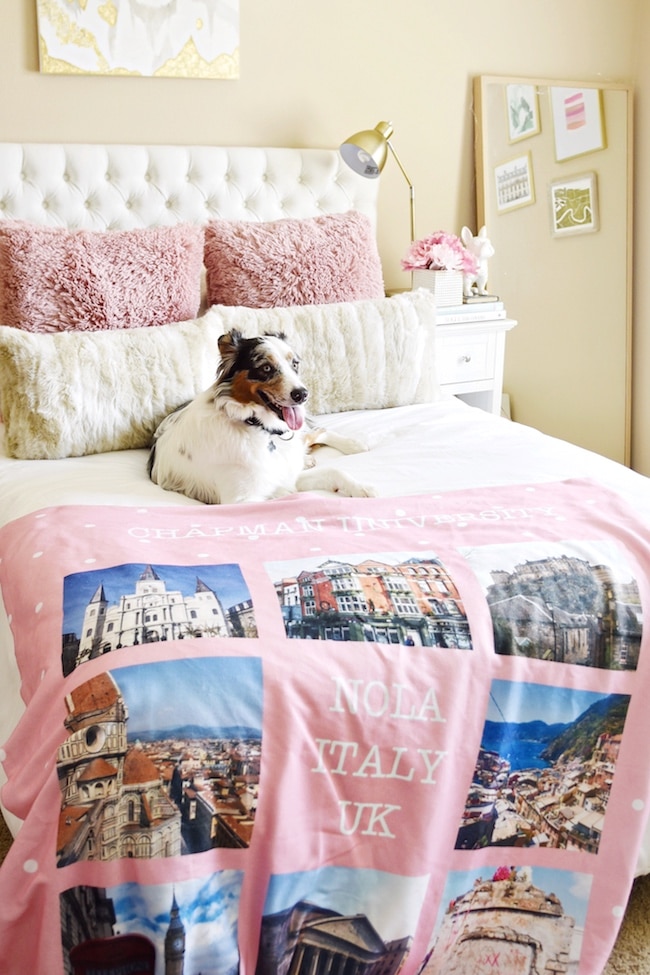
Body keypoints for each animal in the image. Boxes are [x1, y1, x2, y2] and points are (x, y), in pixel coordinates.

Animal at [148, 332, 374, 508]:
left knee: (316, 432)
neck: (258, 428)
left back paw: (354, 444)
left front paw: (361, 487)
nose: (302, 394)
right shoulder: (243, 499)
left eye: (295, 364)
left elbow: (335, 471)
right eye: (266, 368)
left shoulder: (285, 475)